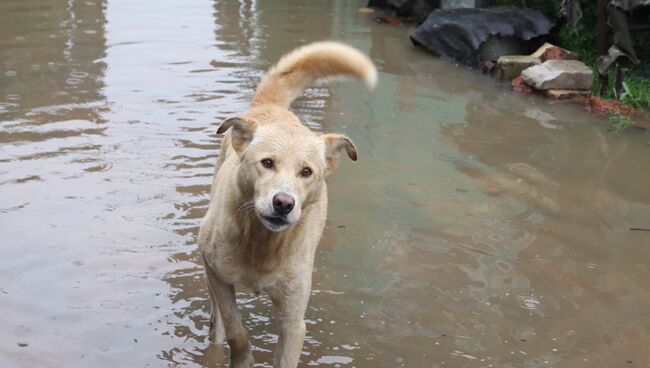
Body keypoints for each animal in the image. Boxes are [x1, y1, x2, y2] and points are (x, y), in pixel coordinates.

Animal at [197, 41, 374, 366]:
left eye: (306, 172)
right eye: (267, 163)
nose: (283, 203)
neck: (262, 243)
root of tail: (274, 108)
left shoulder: (293, 320)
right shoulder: (217, 274)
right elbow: (236, 330)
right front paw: (243, 359)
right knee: (218, 319)